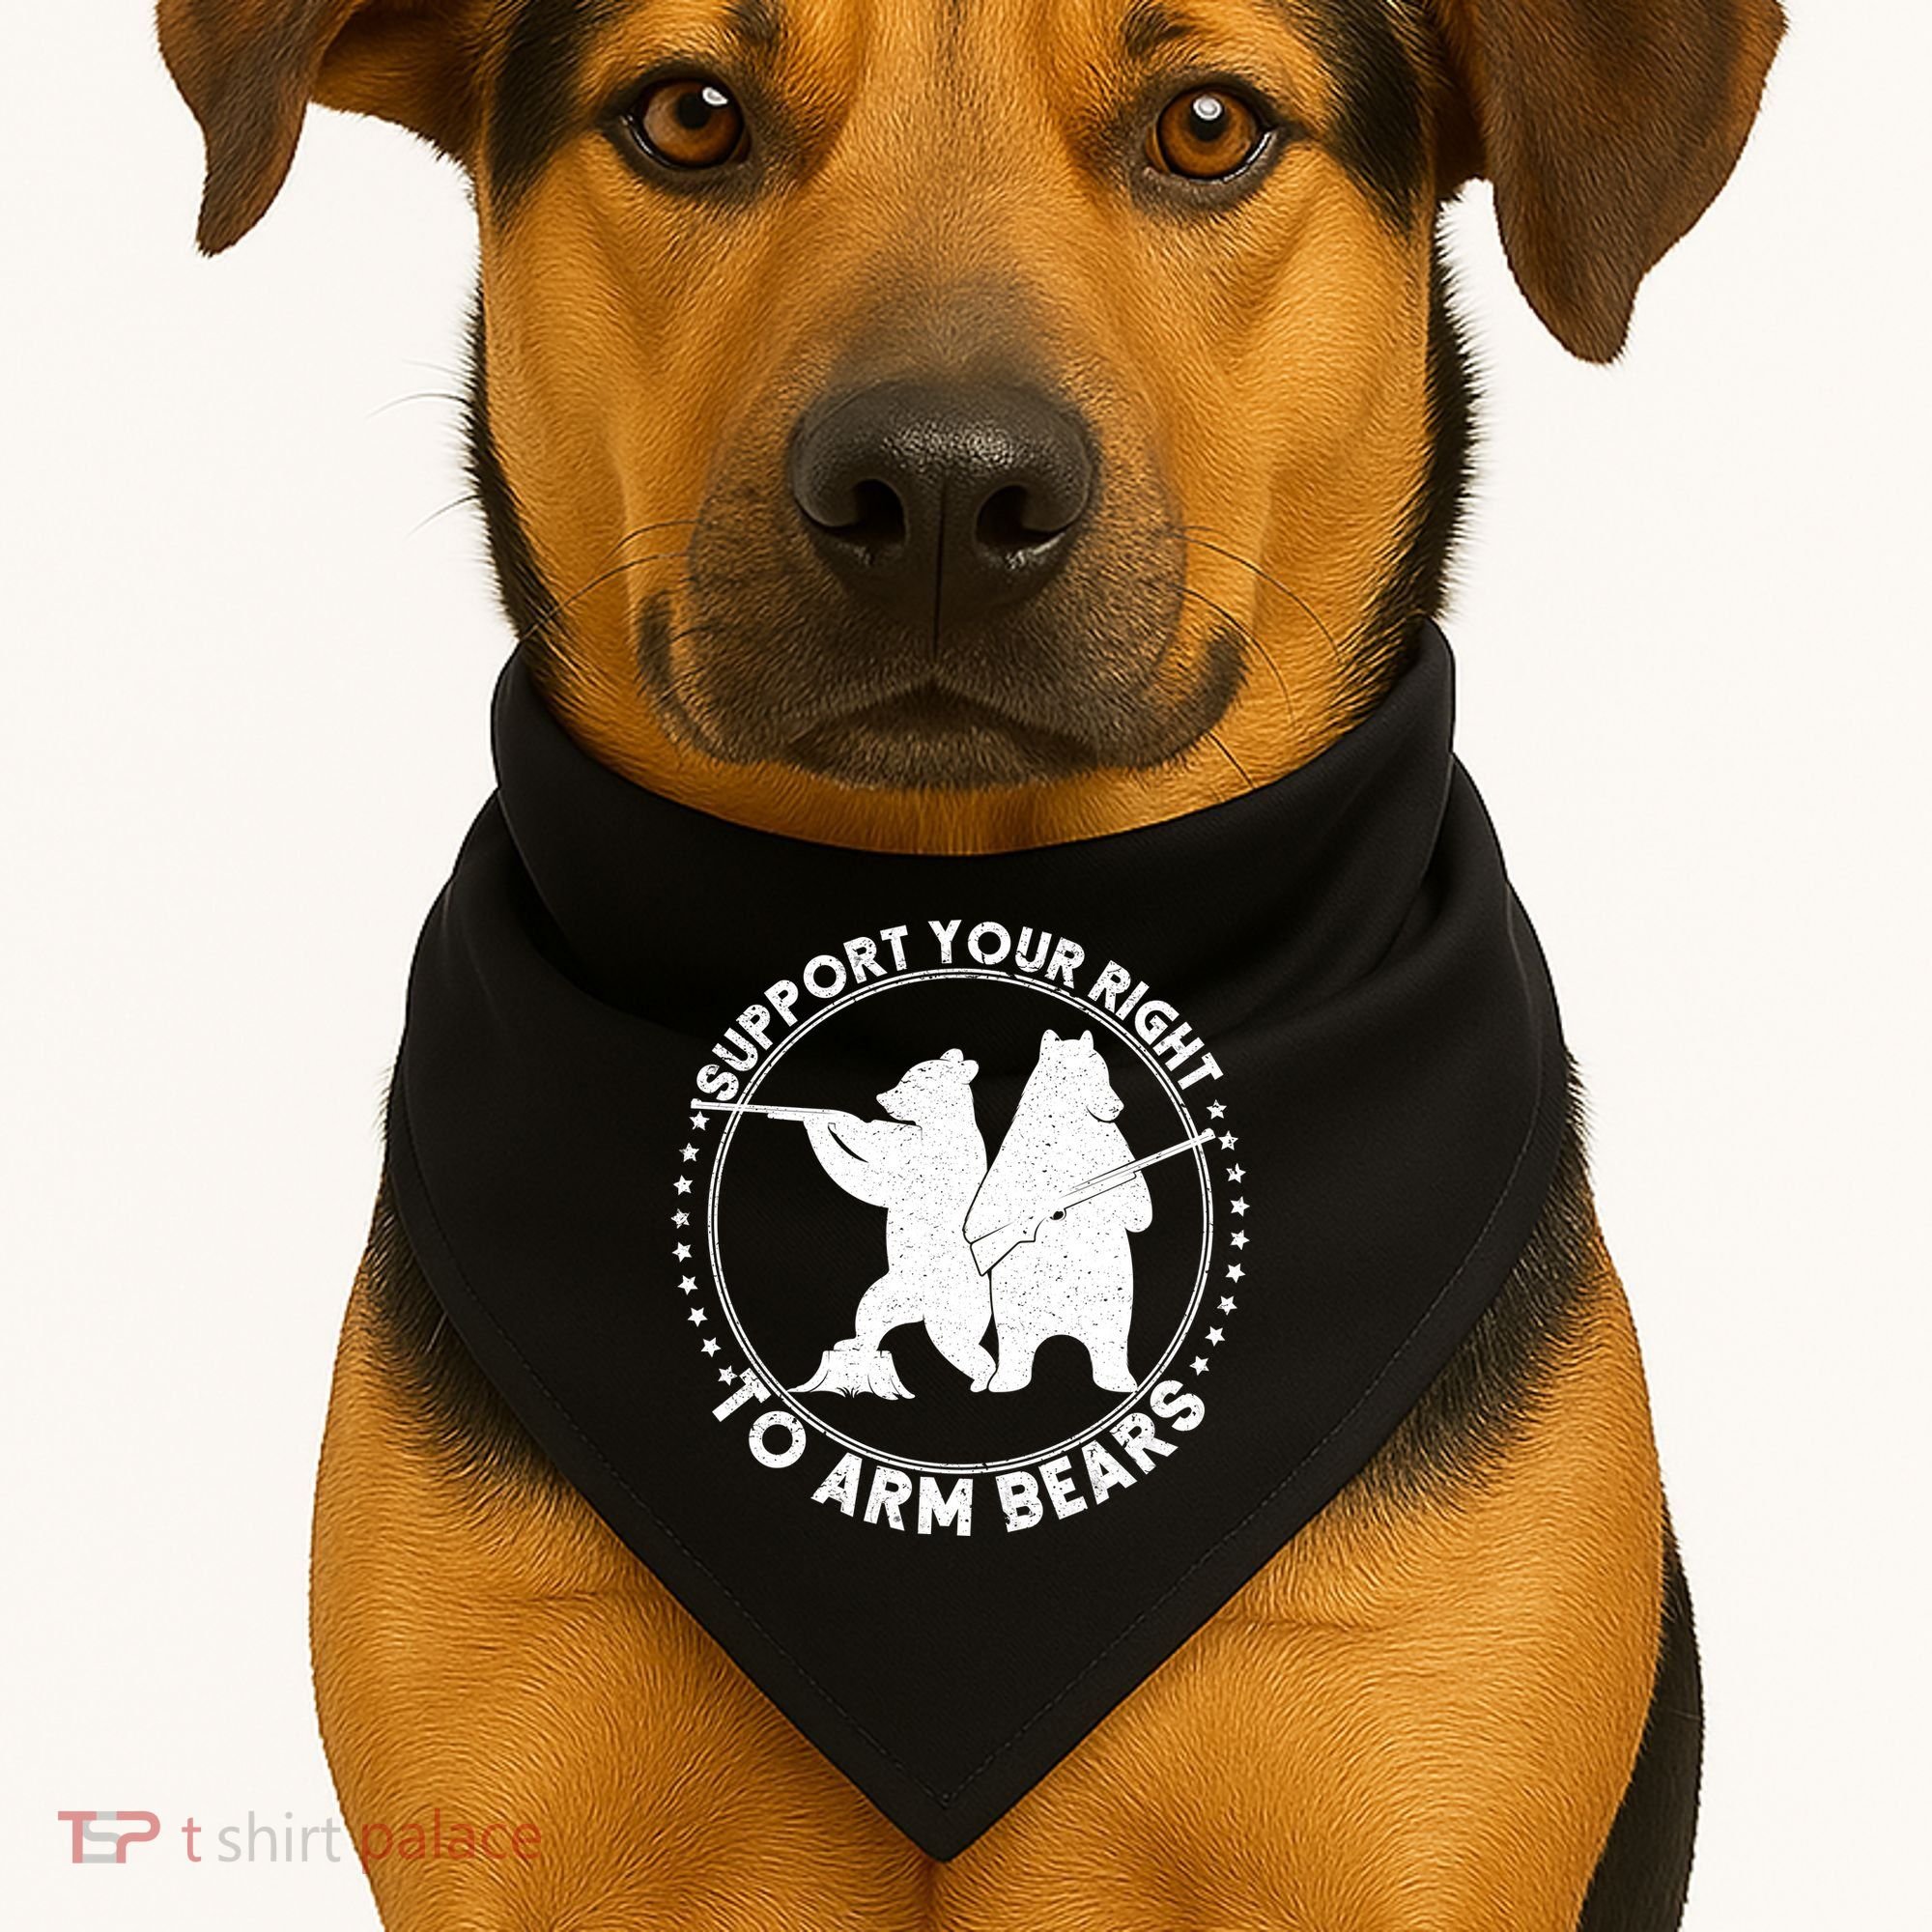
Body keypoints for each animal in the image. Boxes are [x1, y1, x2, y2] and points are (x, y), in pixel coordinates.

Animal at [790, 1047, 994, 1399]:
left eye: (912, 1081)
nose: (881, 1096)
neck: (941, 1127)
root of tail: (919, 1311)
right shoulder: (909, 1140)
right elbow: (880, 1140)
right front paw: (831, 1119)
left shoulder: (934, 1169)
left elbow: (878, 1184)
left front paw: (818, 1124)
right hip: (893, 1288)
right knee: (870, 1309)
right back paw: (854, 1343)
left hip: (956, 1302)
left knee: (956, 1341)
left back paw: (982, 1379)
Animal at [965, 1029, 1150, 1394]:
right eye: (1085, 1074)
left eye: (1105, 1072)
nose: (1117, 1107)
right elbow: (979, 1218)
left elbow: (1137, 1211)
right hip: (1013, 1310)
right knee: (1014, 1339)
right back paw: (1007, 1379)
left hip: (1111, 1309)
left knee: (1110, 1337)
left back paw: (1117, 1378)